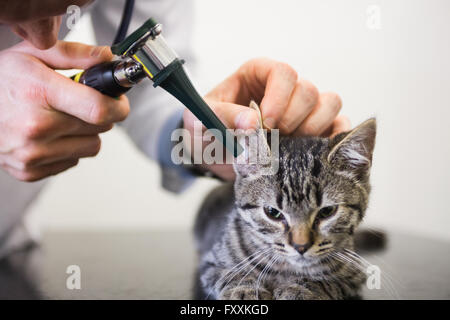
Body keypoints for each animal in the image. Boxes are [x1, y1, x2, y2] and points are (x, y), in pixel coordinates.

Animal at [193, 102, 376, 300]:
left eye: (327, 211)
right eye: (273, 212)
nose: (301, 246)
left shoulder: (355, 275)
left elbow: (328, 281)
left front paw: (300, 288)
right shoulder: (210, 264)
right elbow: (229, 274)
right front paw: (244, 289)